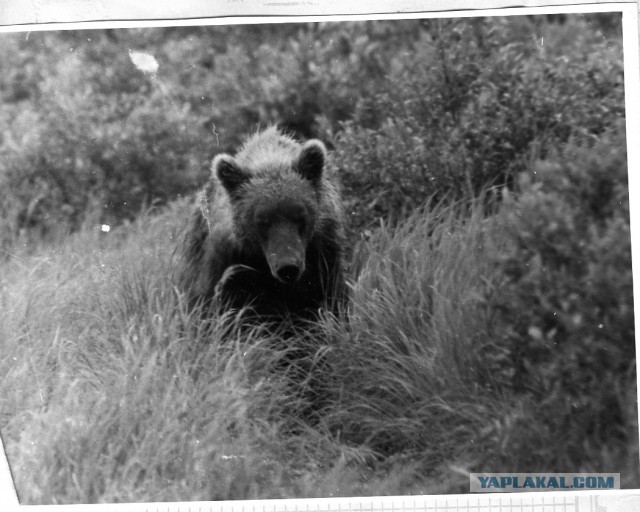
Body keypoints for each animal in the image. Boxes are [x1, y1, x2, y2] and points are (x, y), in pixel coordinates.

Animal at [175, 125, 348, 322]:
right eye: (262, 221)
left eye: (300, 215)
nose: (288, 267)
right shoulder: (228, 261)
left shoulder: (323, 252)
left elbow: (326, 300)